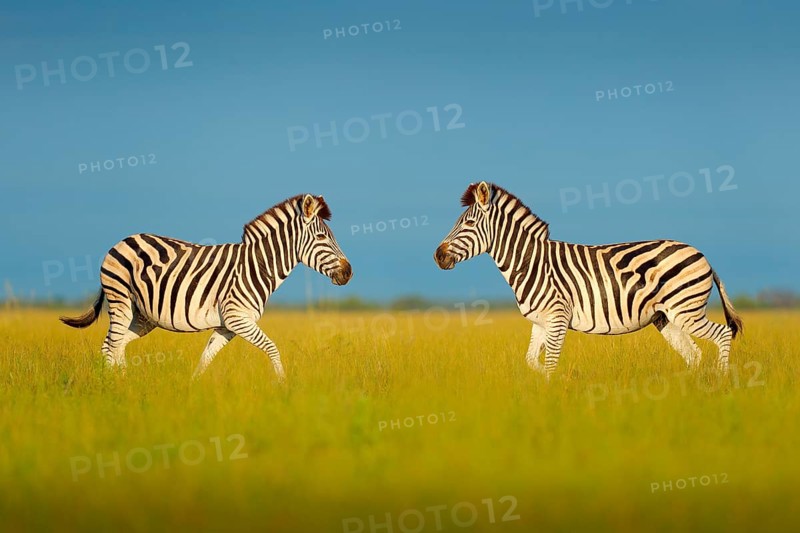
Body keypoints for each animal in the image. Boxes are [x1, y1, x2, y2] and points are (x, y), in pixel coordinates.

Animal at [60, 194, 352, 380]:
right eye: (321, 237)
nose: (349, 272)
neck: (258, 265)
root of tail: (120, 241)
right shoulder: (237, 318)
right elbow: (272, 348)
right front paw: (284, 388)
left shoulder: (226, 326)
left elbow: (206, 358)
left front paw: (193, 389)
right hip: (119, 298)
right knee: (109, 346)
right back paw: (114, 388)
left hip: (142, 315)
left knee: (118, 344)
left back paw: (125, 382)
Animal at [434, 181, 742, 378]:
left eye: (468, 224)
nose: (438, 256)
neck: (530, 262)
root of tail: (702, 254)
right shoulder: (541, 322)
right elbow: (532, 361)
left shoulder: (558, 317)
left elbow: (549, 364)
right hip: (667, 318)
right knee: (694, 355)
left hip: (686, 310)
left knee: (723, 334)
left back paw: (721, 383)